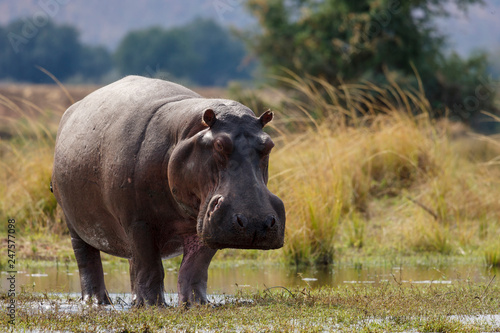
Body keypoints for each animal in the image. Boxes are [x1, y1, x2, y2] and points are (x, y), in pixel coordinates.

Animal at [51, 75, 286, 306]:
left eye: (269, 145)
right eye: (219, 144)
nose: (255, 222)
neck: (184, 133)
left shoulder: (206, 224)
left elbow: (194, 269)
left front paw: (197, 304)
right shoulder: (139, 222)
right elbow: (151, 267)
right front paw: (153, 306)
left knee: (133, 263)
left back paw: (133, 301)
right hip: (75, 223)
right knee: (88, 261)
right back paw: (97, 302)